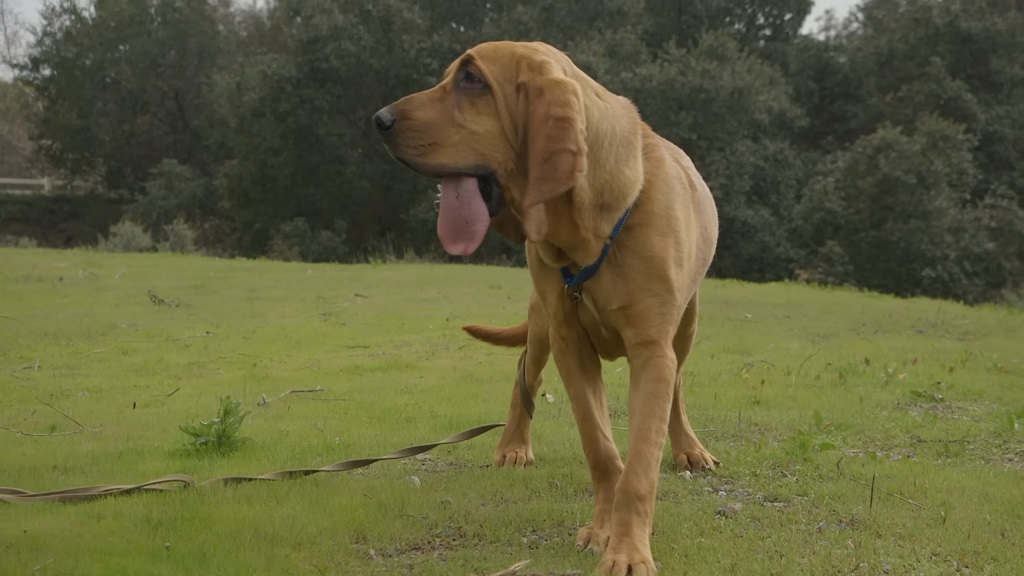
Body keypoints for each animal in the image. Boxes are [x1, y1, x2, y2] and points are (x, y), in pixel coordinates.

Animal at [374, 41, 720, 573]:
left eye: (472, 79)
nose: (380, 119)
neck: (591, 229)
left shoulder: (651, 349)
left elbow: (640, 461)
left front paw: (627, 551)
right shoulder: (570, 342)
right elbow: (601, 448)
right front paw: (603, 530)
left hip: (686, 325)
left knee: (678, 386)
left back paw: (690, 450)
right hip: (543, 327)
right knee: (526, 372)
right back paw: (513, 446)